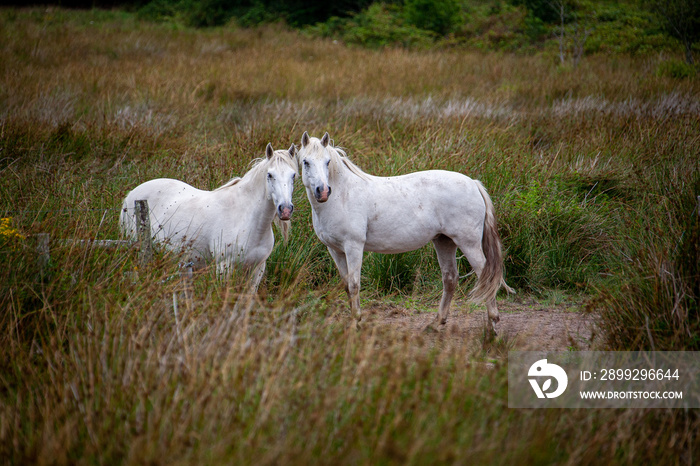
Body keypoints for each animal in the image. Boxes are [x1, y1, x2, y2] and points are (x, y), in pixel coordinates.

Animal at [296, 132, 516, 332]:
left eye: (327, 162)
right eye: (306, 162)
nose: (323, 191)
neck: (343, 195)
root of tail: (473, 184)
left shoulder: (353, 247)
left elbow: (354, 285)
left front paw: (356, 323)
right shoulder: (335, 250)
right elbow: (346, 286)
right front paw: (353, 321)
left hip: (468, 243)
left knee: (485, 276)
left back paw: (492, 325)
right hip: (444, 241)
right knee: (450, 279)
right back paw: (436, 323)